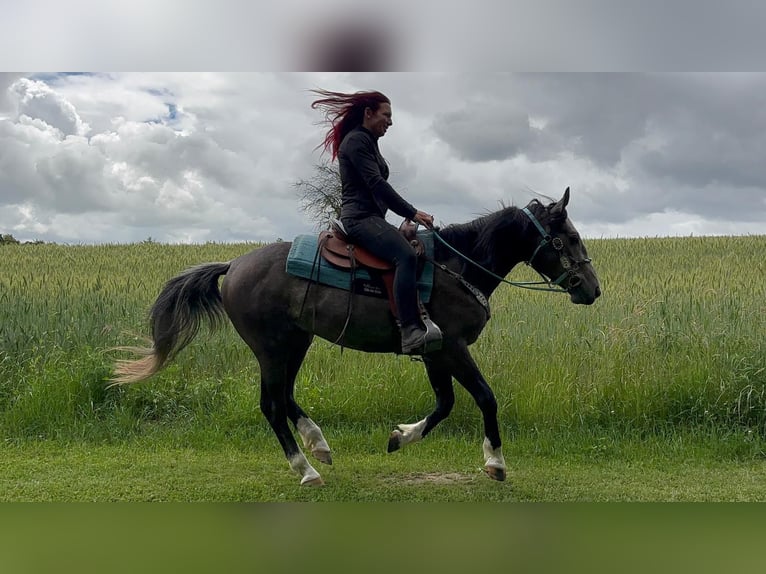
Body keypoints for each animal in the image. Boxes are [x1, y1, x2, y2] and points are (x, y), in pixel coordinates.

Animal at [111, 188, 600, 486]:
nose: (592, 289)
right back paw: (306, 468)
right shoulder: (452, 347)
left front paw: (401, 436)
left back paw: (318, 443)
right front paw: (495, 462)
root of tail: (233, 265)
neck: (457, 266)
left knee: (286, 397)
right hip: (270, 347)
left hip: (296, 342)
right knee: (271, 405)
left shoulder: (435, 352)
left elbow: (444, 404)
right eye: (570, 237)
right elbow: (484, 398)